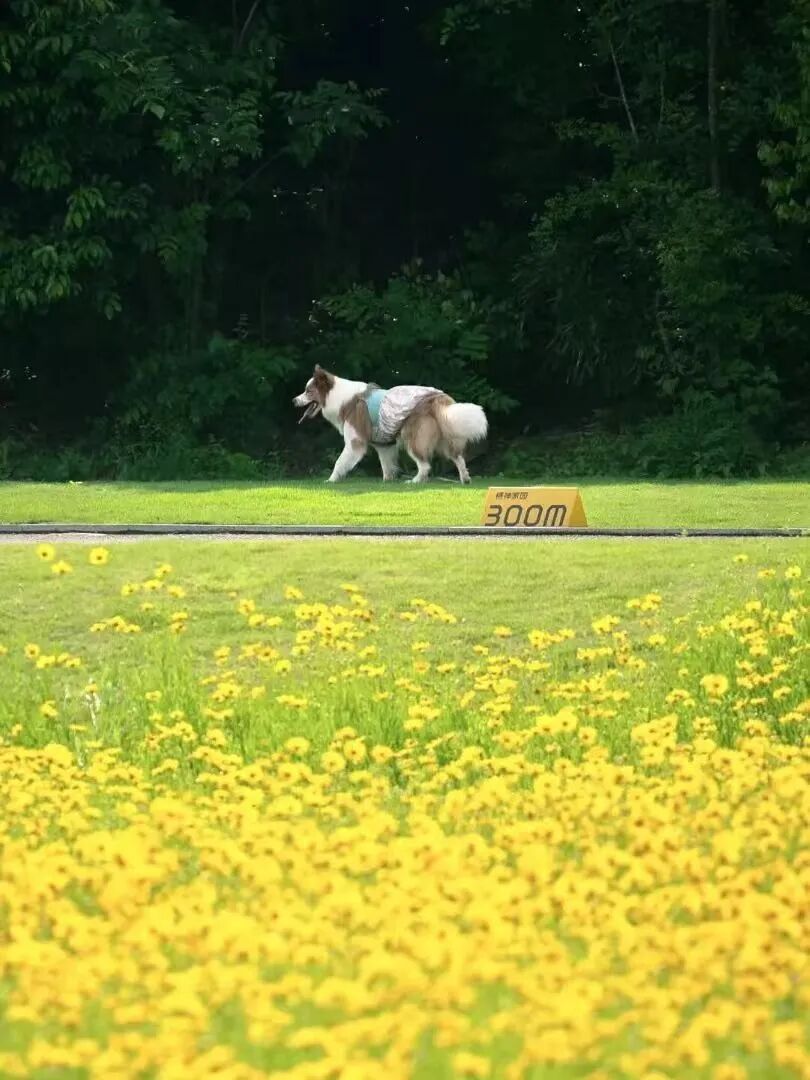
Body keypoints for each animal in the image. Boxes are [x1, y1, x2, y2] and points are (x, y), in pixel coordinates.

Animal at [293, 365, 488, 483]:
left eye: (308, 391)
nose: (294, 401)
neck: (338, 397)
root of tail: (437, 398)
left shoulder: (355, 441)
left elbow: (339, 462)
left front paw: (331, 480)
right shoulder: (384, 444)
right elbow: (386, 465)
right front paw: (387, 482)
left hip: (412, 438)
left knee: (425, 465)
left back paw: (414, 481)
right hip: (445, 438)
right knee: (458, 458)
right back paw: (465, 479)